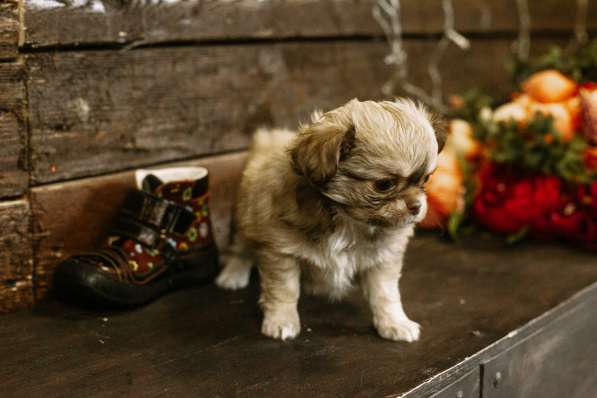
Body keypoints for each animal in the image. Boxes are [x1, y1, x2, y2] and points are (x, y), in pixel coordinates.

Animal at [214, 98, 442, 342]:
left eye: (426, 179)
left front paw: (395, 323)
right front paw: (281, 321)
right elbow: (284, 290)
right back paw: (232, 274)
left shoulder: (383, 258)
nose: (417, 206)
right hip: (246, 216)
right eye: (384, 184)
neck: (349, 222)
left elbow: (386, 294)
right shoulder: (280, 252)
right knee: (241, 246)